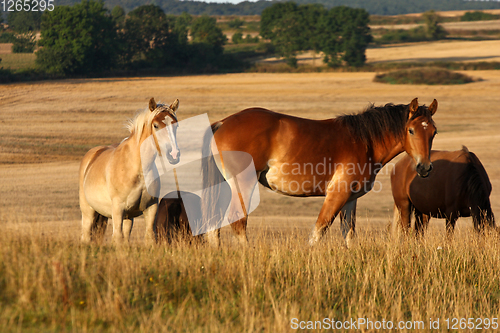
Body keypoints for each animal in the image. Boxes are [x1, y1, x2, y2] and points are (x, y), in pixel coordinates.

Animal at [81, 97, 183, 243]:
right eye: (155, 125)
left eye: (176, 125)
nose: (174, 154)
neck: (137, 169)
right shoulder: (118, 209)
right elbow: (117, 237)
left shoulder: (151, 208)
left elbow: (149, 237)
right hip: (88, 212)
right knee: (86, 235)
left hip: (127, 218)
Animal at [202, 97, 438, 245]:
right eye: (411, 130)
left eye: (434, 132)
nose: (424, 168)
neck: (365, 142)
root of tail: (222, 123)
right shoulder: (337, 195)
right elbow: (318, 231)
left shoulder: (350, 199)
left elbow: (348, 235)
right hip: (243, 185)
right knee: (237, 222)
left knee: (214, 226)